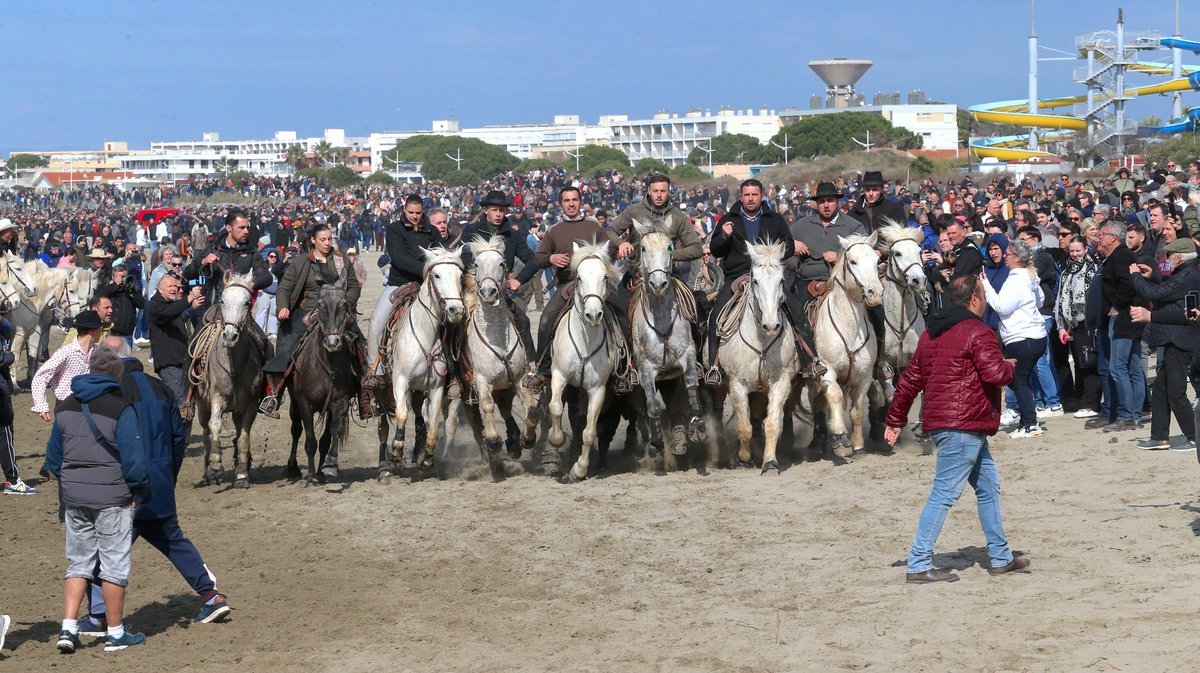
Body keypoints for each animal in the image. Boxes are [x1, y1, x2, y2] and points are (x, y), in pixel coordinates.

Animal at [384, 245, 463, 472]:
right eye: (436, 275)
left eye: (460, 276)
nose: (456, 310)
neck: (424, 336)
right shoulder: (400, 380)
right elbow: (402, 413)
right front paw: (396, 449)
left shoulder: (436, 387)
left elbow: (435, 426)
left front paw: (427, 458)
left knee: (440, 420)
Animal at [547, 238, 619, 479]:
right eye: (579, 277)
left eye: (604, 276)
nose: (593, 315)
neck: (585, 339)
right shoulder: (559, 375)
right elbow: (555, 407)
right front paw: (555, 438)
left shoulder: (597, 389)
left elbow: (589, 431)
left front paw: (579, 469)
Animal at [628, 230, 700, 460]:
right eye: (642, 248)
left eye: (669, 247)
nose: (659, 284)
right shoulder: (645, 369)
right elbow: (652, 405)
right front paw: (656, 444)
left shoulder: (687, 354)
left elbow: (691, 383)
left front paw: (698, 425)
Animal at [710, 241, 796, 472]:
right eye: (755, 280)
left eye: (781, 279)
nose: (771, 325)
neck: (761, 341)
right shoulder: (737, 383)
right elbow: (744, 426)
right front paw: (743, 459)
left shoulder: (780, 381)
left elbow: (772, 423)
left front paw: (770, 462)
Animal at [806, 230, 883, 455]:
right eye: (853, 261)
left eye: (877, 260)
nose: (875, 293)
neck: (849, 328)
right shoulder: (828, 370)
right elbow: (836, 398)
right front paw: (839, 434)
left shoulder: (865, 375)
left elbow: (857, 409)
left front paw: (857, 445)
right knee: (817, 403)